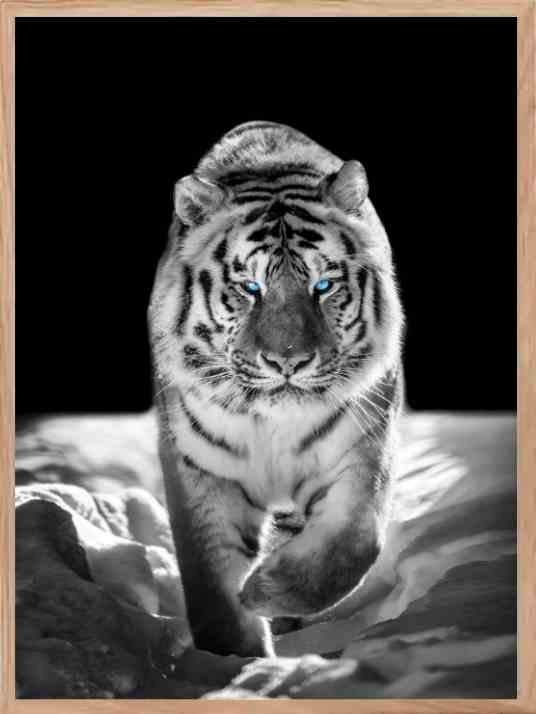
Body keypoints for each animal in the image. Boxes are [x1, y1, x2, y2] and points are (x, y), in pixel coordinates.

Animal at [148, 121, 404, 657]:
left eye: (324, 286)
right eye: (250, 288)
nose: (288, 361)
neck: (273, 423)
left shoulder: (363, 445)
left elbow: (351, 544)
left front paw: (264, 590)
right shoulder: (201, 470)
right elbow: (210, 581)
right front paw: (236, 660)